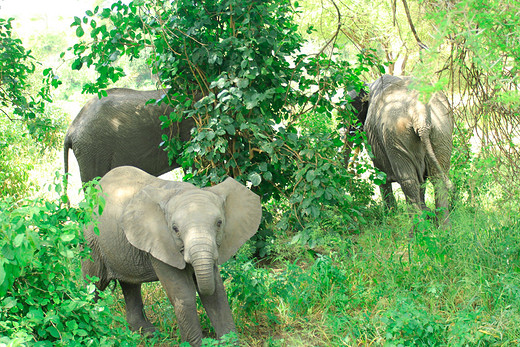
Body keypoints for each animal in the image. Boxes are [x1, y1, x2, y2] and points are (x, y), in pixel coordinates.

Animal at [83, 167, 262, 346]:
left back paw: (147, 334)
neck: (182, 191)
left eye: (219, 223)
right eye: (175, 229)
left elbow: (216, 293)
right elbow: (184, 294)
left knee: (130, 285)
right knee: (94, 283)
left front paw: (229, 342)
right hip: (90, 241)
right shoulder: (160, 243)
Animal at [350, 75, 456, 224]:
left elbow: (381, 176)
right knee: (437, 177)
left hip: (396, 136)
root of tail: (421, 114)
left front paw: (390, 215)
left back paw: (416, 228)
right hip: (442, 129)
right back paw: (443, 226)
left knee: (409, 181)